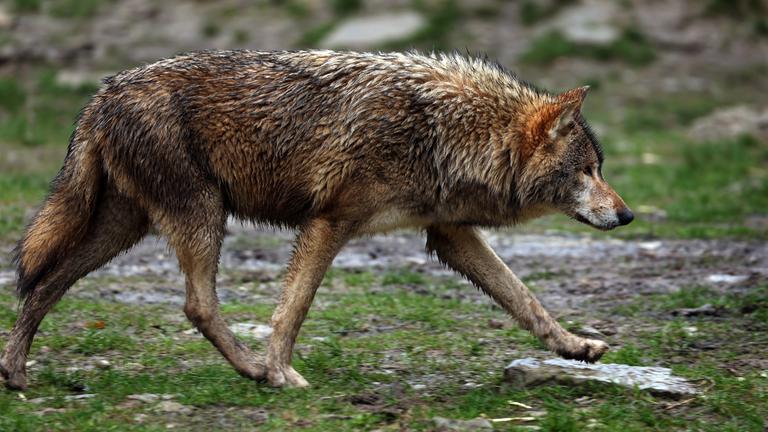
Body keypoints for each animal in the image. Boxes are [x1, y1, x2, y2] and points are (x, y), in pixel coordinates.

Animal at [1, 50, 633, 389]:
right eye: (589, 170)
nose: (627, 215)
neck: (446, 132)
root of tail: (101, 93)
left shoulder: (449, 235)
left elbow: (525, 298)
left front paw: (576, 347)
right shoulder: (329, 222)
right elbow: (293, 309)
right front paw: (281, 373)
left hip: (126, 228)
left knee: (44, 284)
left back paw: (15, 374)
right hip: (201, 217)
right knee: (196, 305)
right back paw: (254, 371)